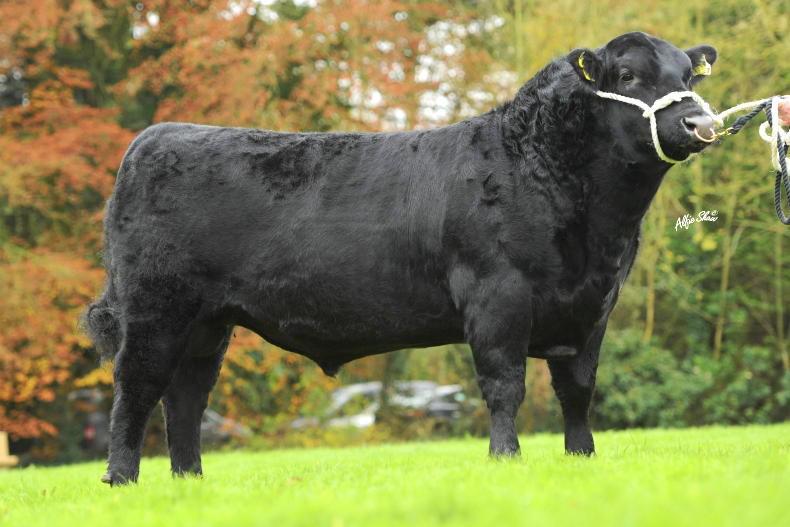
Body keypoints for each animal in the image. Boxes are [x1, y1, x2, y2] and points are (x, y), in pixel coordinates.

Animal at [85, 31, 720, 485]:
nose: (701, 121)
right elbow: (504, 385)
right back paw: (122, 479)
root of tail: (156, 137)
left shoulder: (592, 306)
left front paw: (581, 458)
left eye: (689, 75)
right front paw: (506, 460)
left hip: (207, 323)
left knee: (186, 397)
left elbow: (579, 390)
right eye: (629, 76)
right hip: (156, 306)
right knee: (137, 386)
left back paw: (189, 480)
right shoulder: (498, 297)